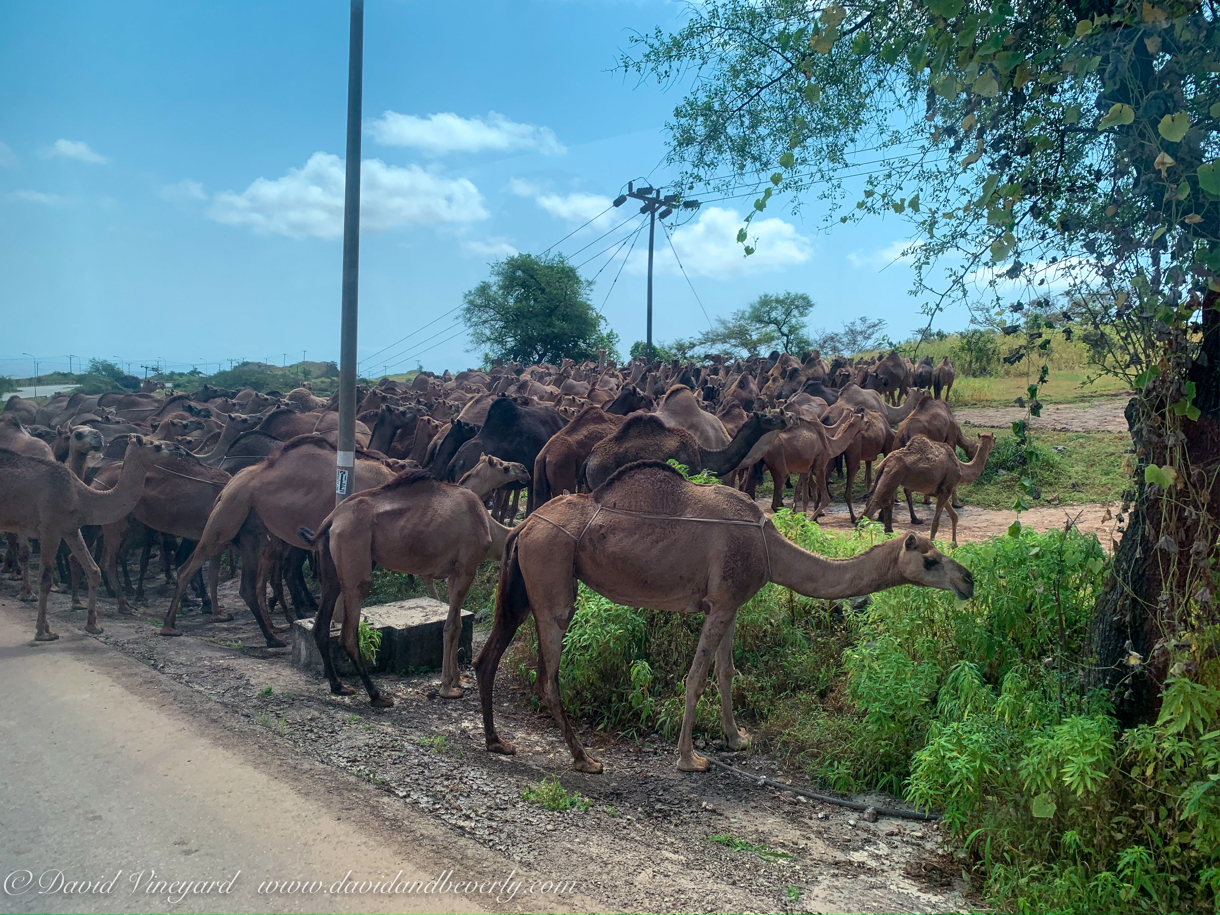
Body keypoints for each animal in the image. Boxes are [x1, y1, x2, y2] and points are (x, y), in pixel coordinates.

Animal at [0, 434, 174, 639]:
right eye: (156, 446)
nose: (176, 449)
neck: (81, 496)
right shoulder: (50, 529)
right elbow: (45, 579)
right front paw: (43, 632)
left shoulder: (70, 530)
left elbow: (93, 569)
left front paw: (93, 625)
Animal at [161, 434, 395, 644]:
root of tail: (227, 487)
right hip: (226, 518)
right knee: (189, 567)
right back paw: (169, 626)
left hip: (251, 533)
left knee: (248, 586)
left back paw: (272, 636)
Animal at [300, 461, 529, 707]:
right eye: (504, 467)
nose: (525, 470)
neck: (489, 527)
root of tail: (331, 518)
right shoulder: (466, 568)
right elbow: (451, 626)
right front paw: (447, 688)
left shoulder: (454, 572)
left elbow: (458, 622)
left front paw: (457, 679)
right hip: (355, 558)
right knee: (349, 633)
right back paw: (377, 695)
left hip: (330, 564)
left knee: (321, 622)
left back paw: (339, 686)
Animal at [470, 466, 976, 775]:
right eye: (930, 559)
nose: (969, 580)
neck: (770, 548)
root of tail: (523, 525)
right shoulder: (722, 601)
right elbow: (696, 677)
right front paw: (689, 758)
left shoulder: (728, 604)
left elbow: (726, 671)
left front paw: (737, 739)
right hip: (552, 571)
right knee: (548, 672)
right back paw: (585, 759)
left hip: (520, 582)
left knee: (488, 655)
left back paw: (498, 742)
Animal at [863, 431, 995, 544]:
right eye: (994, 439)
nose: (995, 443)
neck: (961, 468)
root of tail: (884, 463)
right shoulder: (946, 490)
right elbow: (936, 523)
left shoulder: (939, 492)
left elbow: (954, 516)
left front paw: (954, 545)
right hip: (892, 476)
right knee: (875, 505)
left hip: (888, 478)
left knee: (883, 505)